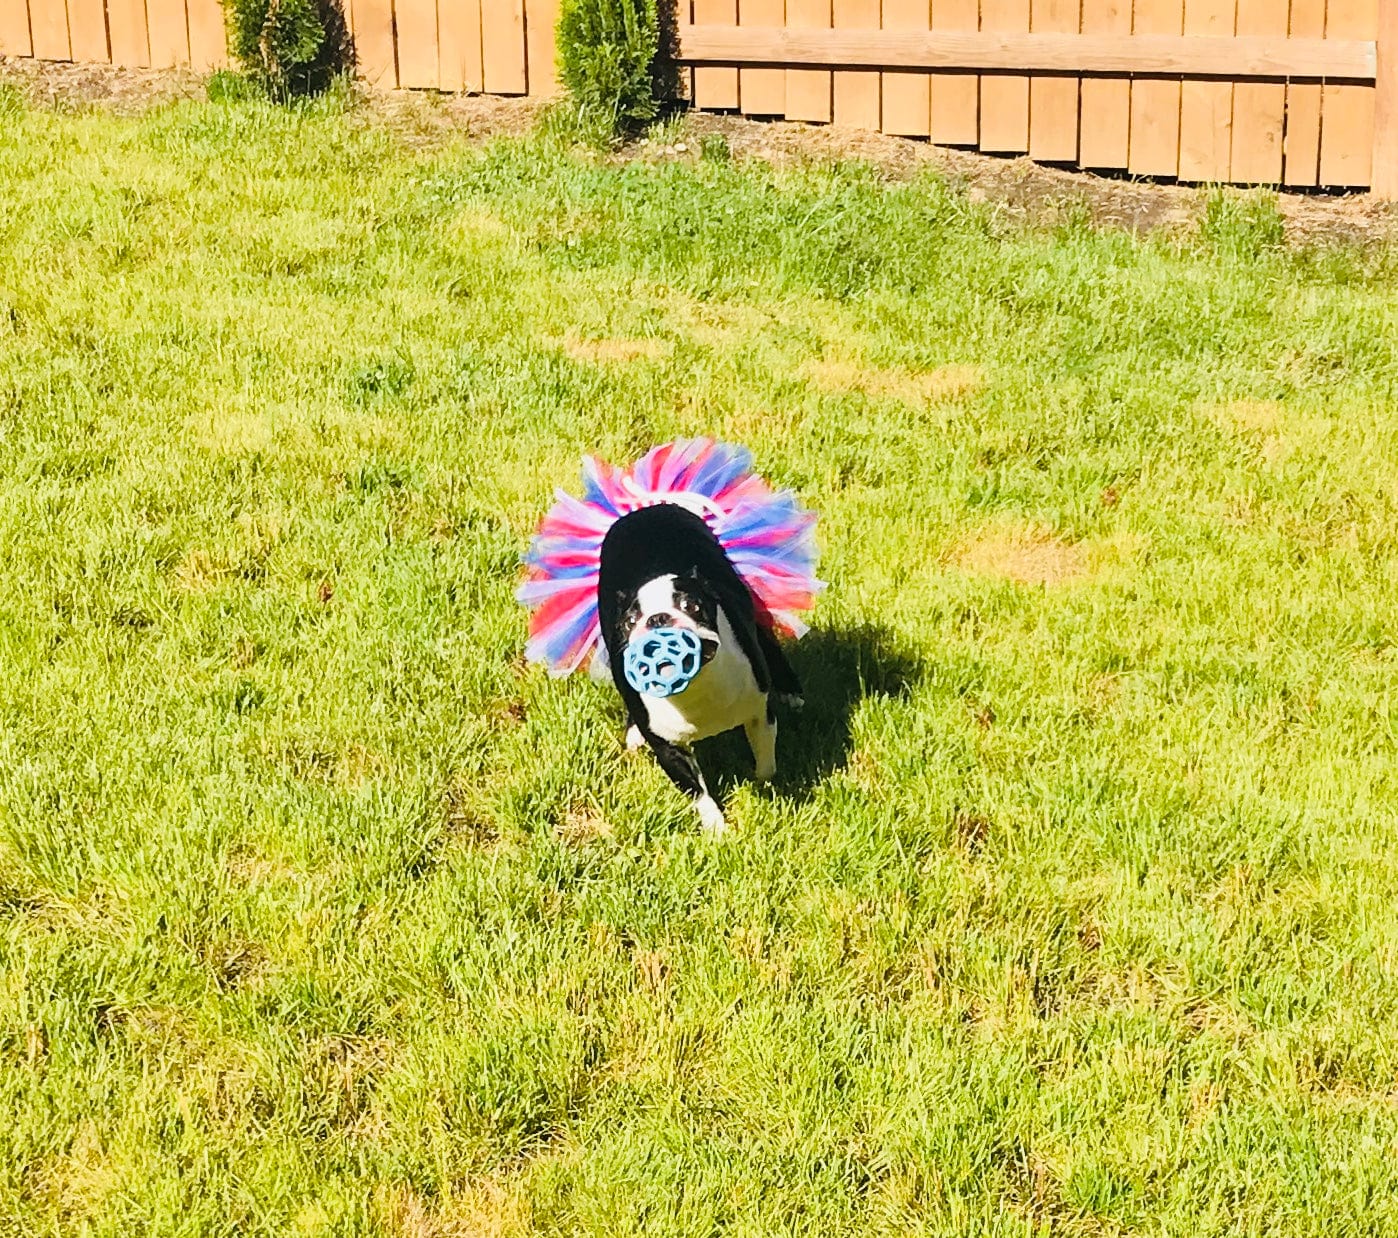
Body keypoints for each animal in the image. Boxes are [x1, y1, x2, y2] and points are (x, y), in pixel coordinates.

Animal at [592, 503, 805, 832]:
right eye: (630, 622)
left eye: (691, 606)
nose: (658, 619)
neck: (694, 689)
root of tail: (649, 510)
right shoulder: (668, 749)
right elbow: (697, 791)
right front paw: (716, 827)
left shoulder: (759, 712)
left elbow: (765, 759)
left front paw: (765, 784)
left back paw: (792, 692)